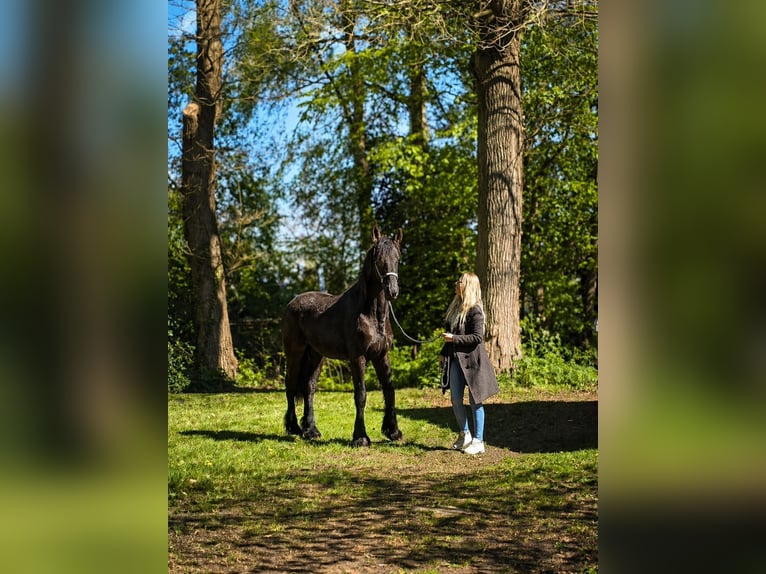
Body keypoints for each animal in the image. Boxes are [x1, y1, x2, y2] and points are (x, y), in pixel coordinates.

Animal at [282, 225, 404, 447]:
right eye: (378, 258)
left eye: (397, 258)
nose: (392, 291)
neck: (372, 315)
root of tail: (292, 303)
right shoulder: (358, 357)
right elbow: (361, 395)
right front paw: (360, 437)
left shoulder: (382, 355)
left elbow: (389, 390)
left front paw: (393, 431)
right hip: (295, 353)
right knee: (291, 385)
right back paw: (293, 427)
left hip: (316, 355)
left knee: (309, 387)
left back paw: (311, 430)